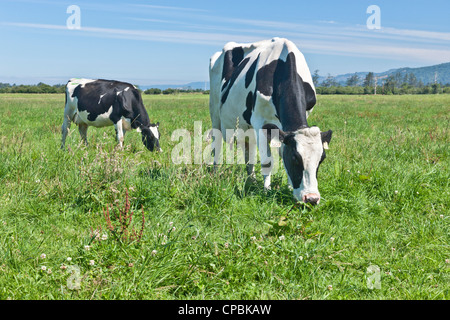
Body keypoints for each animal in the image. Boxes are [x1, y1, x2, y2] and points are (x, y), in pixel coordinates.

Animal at [209, 37, 332, 202]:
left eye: (322, 159)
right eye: (295, 158)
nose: (311, 198)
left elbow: (281, 153)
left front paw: (289, 188)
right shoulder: (260, 122)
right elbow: (267, 162)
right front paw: (266, 191)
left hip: (246, 127)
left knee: (249, 152)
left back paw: (252, 180)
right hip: (215, 114)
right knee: (216, 145)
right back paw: (216, 174)